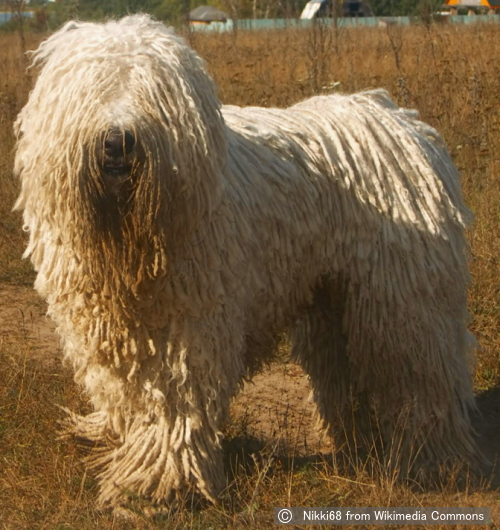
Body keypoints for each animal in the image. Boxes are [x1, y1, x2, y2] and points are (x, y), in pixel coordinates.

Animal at [13, 14, 478, 506]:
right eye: (92, 87)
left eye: (154, 92)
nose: (118, 141)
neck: (129, 239)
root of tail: (402, 122)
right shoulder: (107, 328)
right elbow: (122, 391)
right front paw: (113, 435)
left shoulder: (189, 324)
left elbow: (176, 403)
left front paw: (159, 484)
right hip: (329, 294)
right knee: (340, 361)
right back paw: (355, 440)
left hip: (401, 295)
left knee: (418, 369)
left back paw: (431, 458)